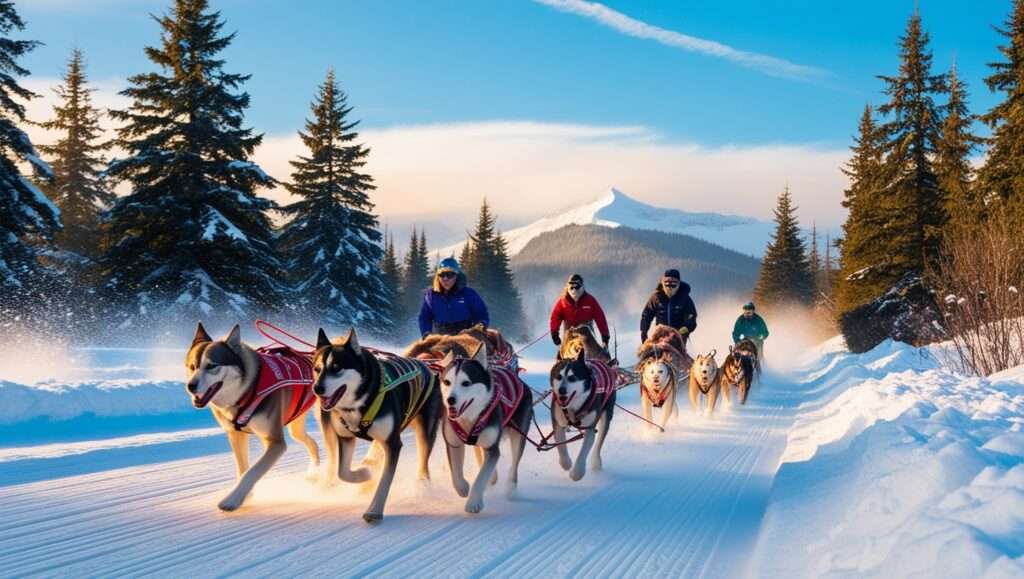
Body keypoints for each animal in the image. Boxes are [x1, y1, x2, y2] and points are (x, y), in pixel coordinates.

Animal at [184, 323, 319, 512]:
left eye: (212, 366)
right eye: (191, 366)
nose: (190, 386)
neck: (247, 391)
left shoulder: (275, 442)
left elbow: (252, 472)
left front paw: (233, 499)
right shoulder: (236, 435)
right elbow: (243, 469)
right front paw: (246, 495)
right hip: (296, 428)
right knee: (312, 444)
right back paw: (314, 472)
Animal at [309, 327, 442, 520]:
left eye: (336, 368)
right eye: (316, 369)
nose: (317, 388)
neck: (360, 402)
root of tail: (425, 365)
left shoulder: (392, 443)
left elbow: (385, 480)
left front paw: (375, 509)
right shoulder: (346, 438)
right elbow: (343, 472)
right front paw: (364, 474)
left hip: (425, 431)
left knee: (424, 463)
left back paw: (422, 487)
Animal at [440, 342, 536, 510]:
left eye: (466, 383)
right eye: (447, 382)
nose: (450, 400)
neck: (470, 418)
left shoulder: (492, 448)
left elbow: (481, 477)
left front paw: (473, 502)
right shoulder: (453, 444)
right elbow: (456, 474)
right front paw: (463, 488)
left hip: (518, 434)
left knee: (514, 463)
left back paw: (510, 487)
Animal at [552, 348, 614, 479]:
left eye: (572, 378)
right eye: (558, 376)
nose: (561, 390)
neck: (572, 408)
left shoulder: (590, 427)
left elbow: (585, 449)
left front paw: (577, 472)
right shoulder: (558, 422)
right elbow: (561, 446)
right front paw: (566, 463)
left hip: (606, 414)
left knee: (600, 439)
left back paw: (596, 461)